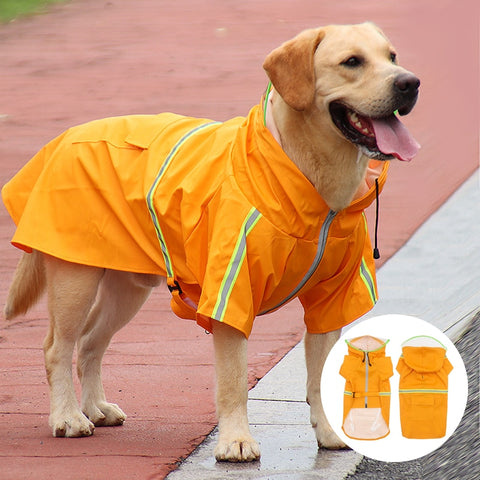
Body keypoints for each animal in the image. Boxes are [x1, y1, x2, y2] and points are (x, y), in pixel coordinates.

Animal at [1, 22, 418, 462]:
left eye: (392, 56)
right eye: (352, 61)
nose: (410, 83)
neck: (312, 184)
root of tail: (64, 138)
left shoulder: (329, 301)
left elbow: (320, 377)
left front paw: (329, 434)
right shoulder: (231, 294)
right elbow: (234, 382)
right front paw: (236, 441)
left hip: (126, 288)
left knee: (90, 342)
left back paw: (95, 408)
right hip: (75, 280)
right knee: (57, 347)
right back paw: (68, 418)